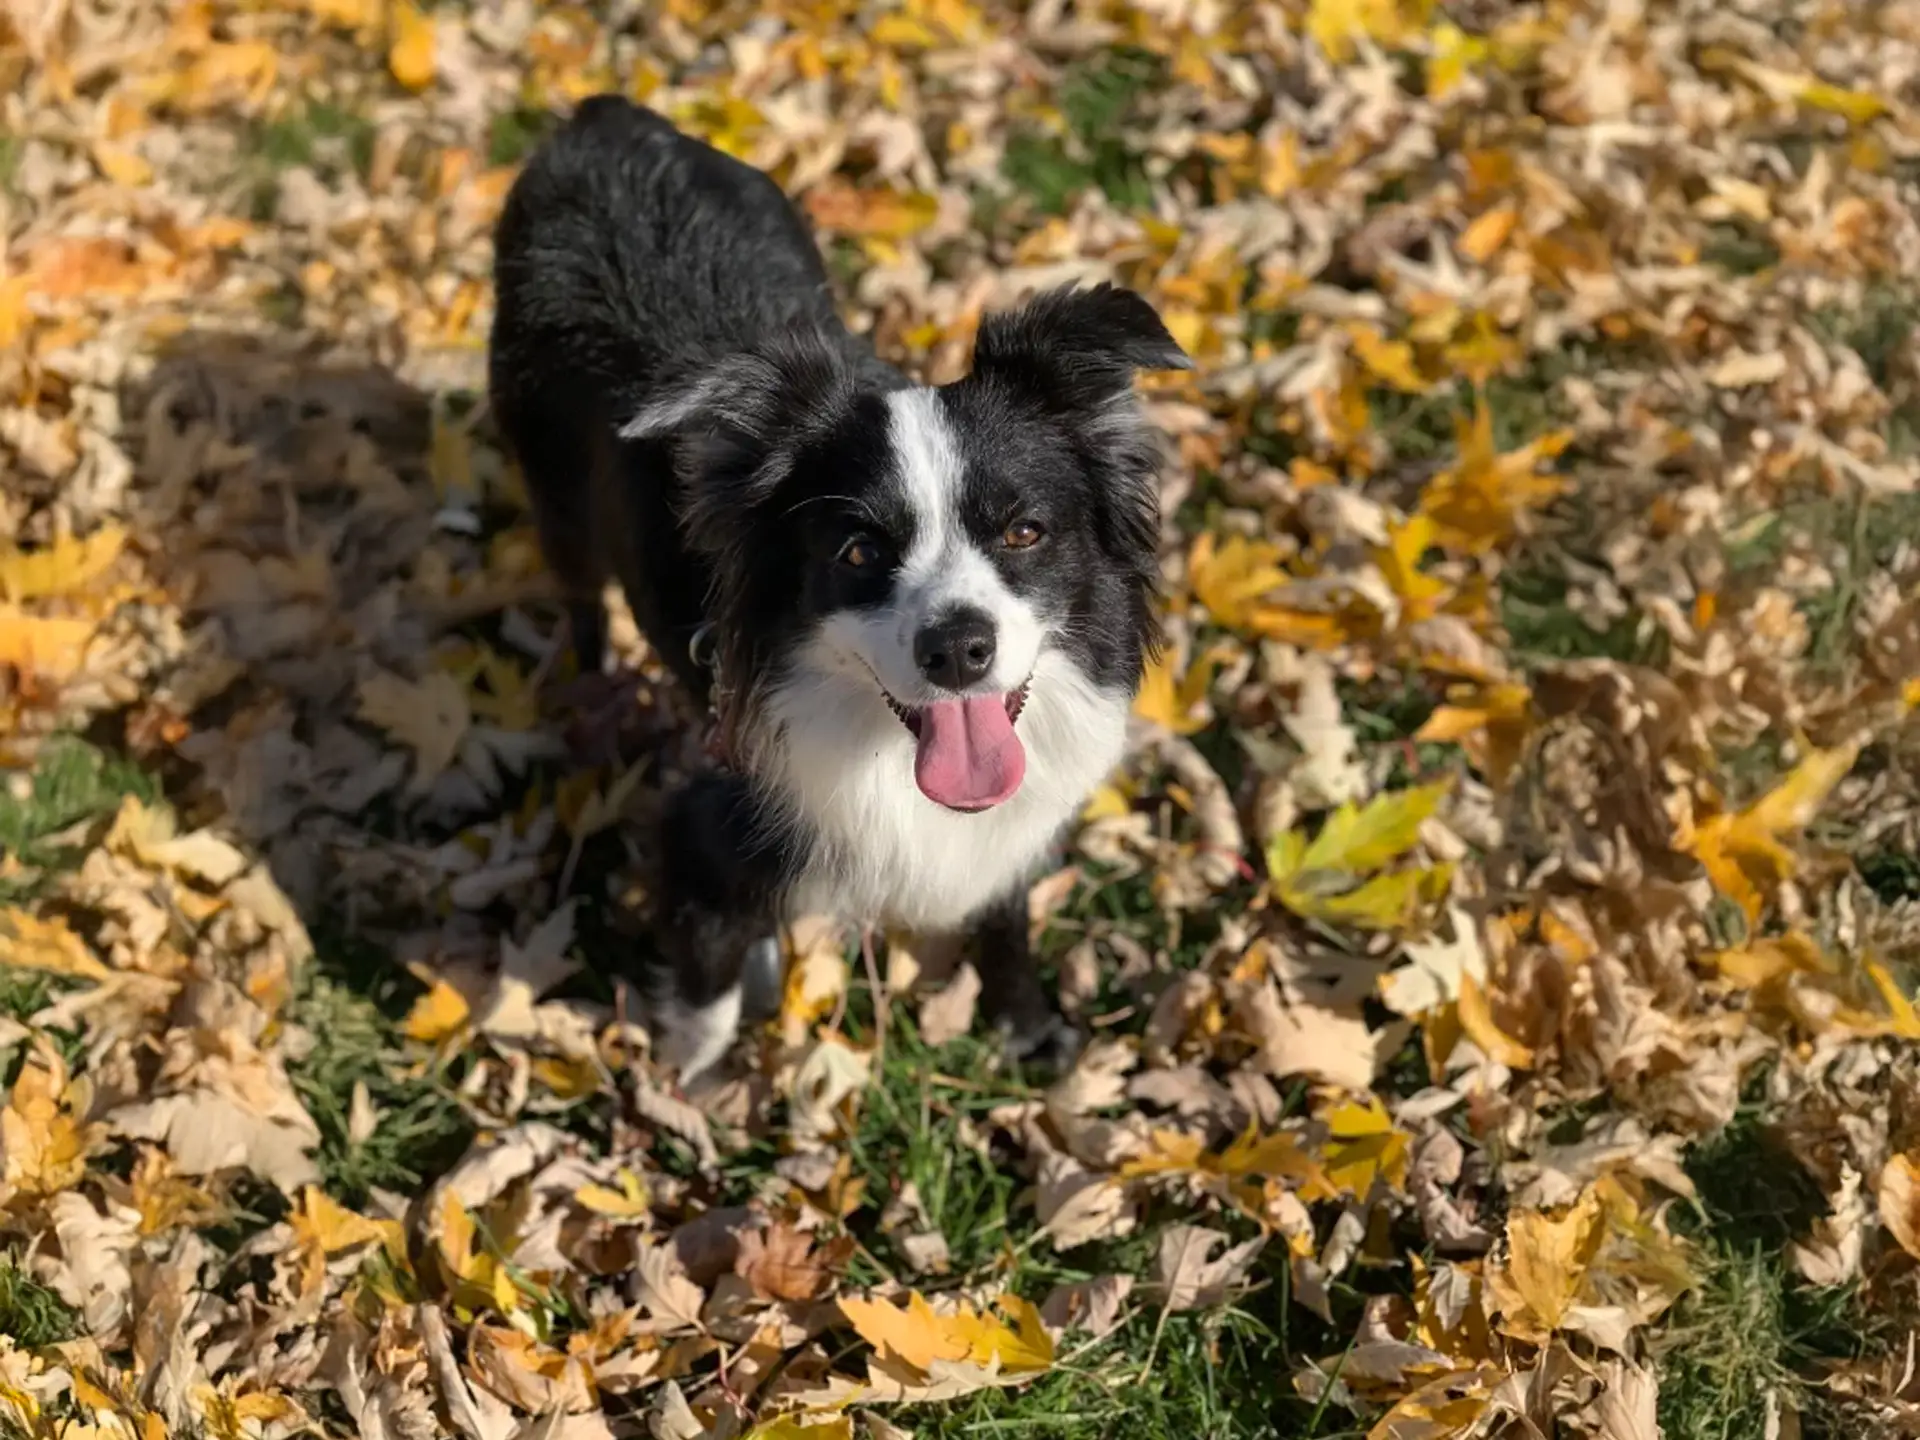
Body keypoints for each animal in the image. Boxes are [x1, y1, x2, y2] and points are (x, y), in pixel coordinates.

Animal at [487, 93, 1190, 1082]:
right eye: (857, 552)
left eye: (1024, 531)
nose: (958, 648)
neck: (888, 754)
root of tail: (606, 116)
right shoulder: (710, 828)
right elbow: (702, 999)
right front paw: (688, 1095)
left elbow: (1004, 908)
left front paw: (1025, 1023)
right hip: (556, 498)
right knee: (581, 603)